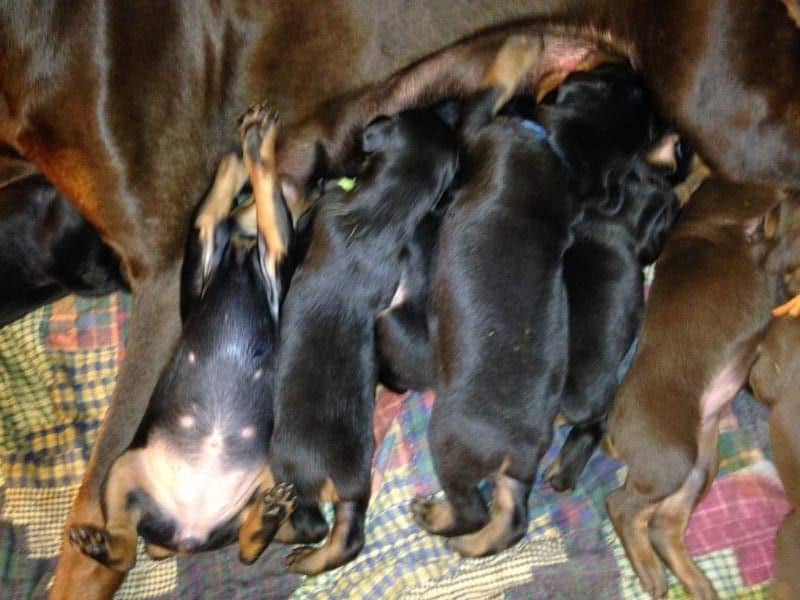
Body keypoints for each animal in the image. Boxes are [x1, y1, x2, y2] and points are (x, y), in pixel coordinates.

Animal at [67, 108, 298, 572]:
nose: (299, 183)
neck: (241, 259)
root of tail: (188, 534)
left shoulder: (273, 253)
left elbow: (255, 209)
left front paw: (253, 150)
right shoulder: (207, 250)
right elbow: (210, 211)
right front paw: (237, 159)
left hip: (267, 471)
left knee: (240, 547)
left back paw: (266, 517)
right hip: (123, 470)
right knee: (129, 544)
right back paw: (102, 544)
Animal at [412, 57, 688, 556]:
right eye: (634, 89)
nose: (627, 60)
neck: (565, 150)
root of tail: (521, 444)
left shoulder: (479, 131)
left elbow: (491, 86)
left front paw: (520, 49)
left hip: (449, 442)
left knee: (473, 508)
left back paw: (438, 518)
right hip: (515, 475)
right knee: (511, 517)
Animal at [608, 179, 780, 600]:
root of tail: (613, 426)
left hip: (700, 467)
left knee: (662, 526)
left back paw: (695, 582)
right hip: (673, 458)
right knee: (622, 506)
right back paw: (650, 573)